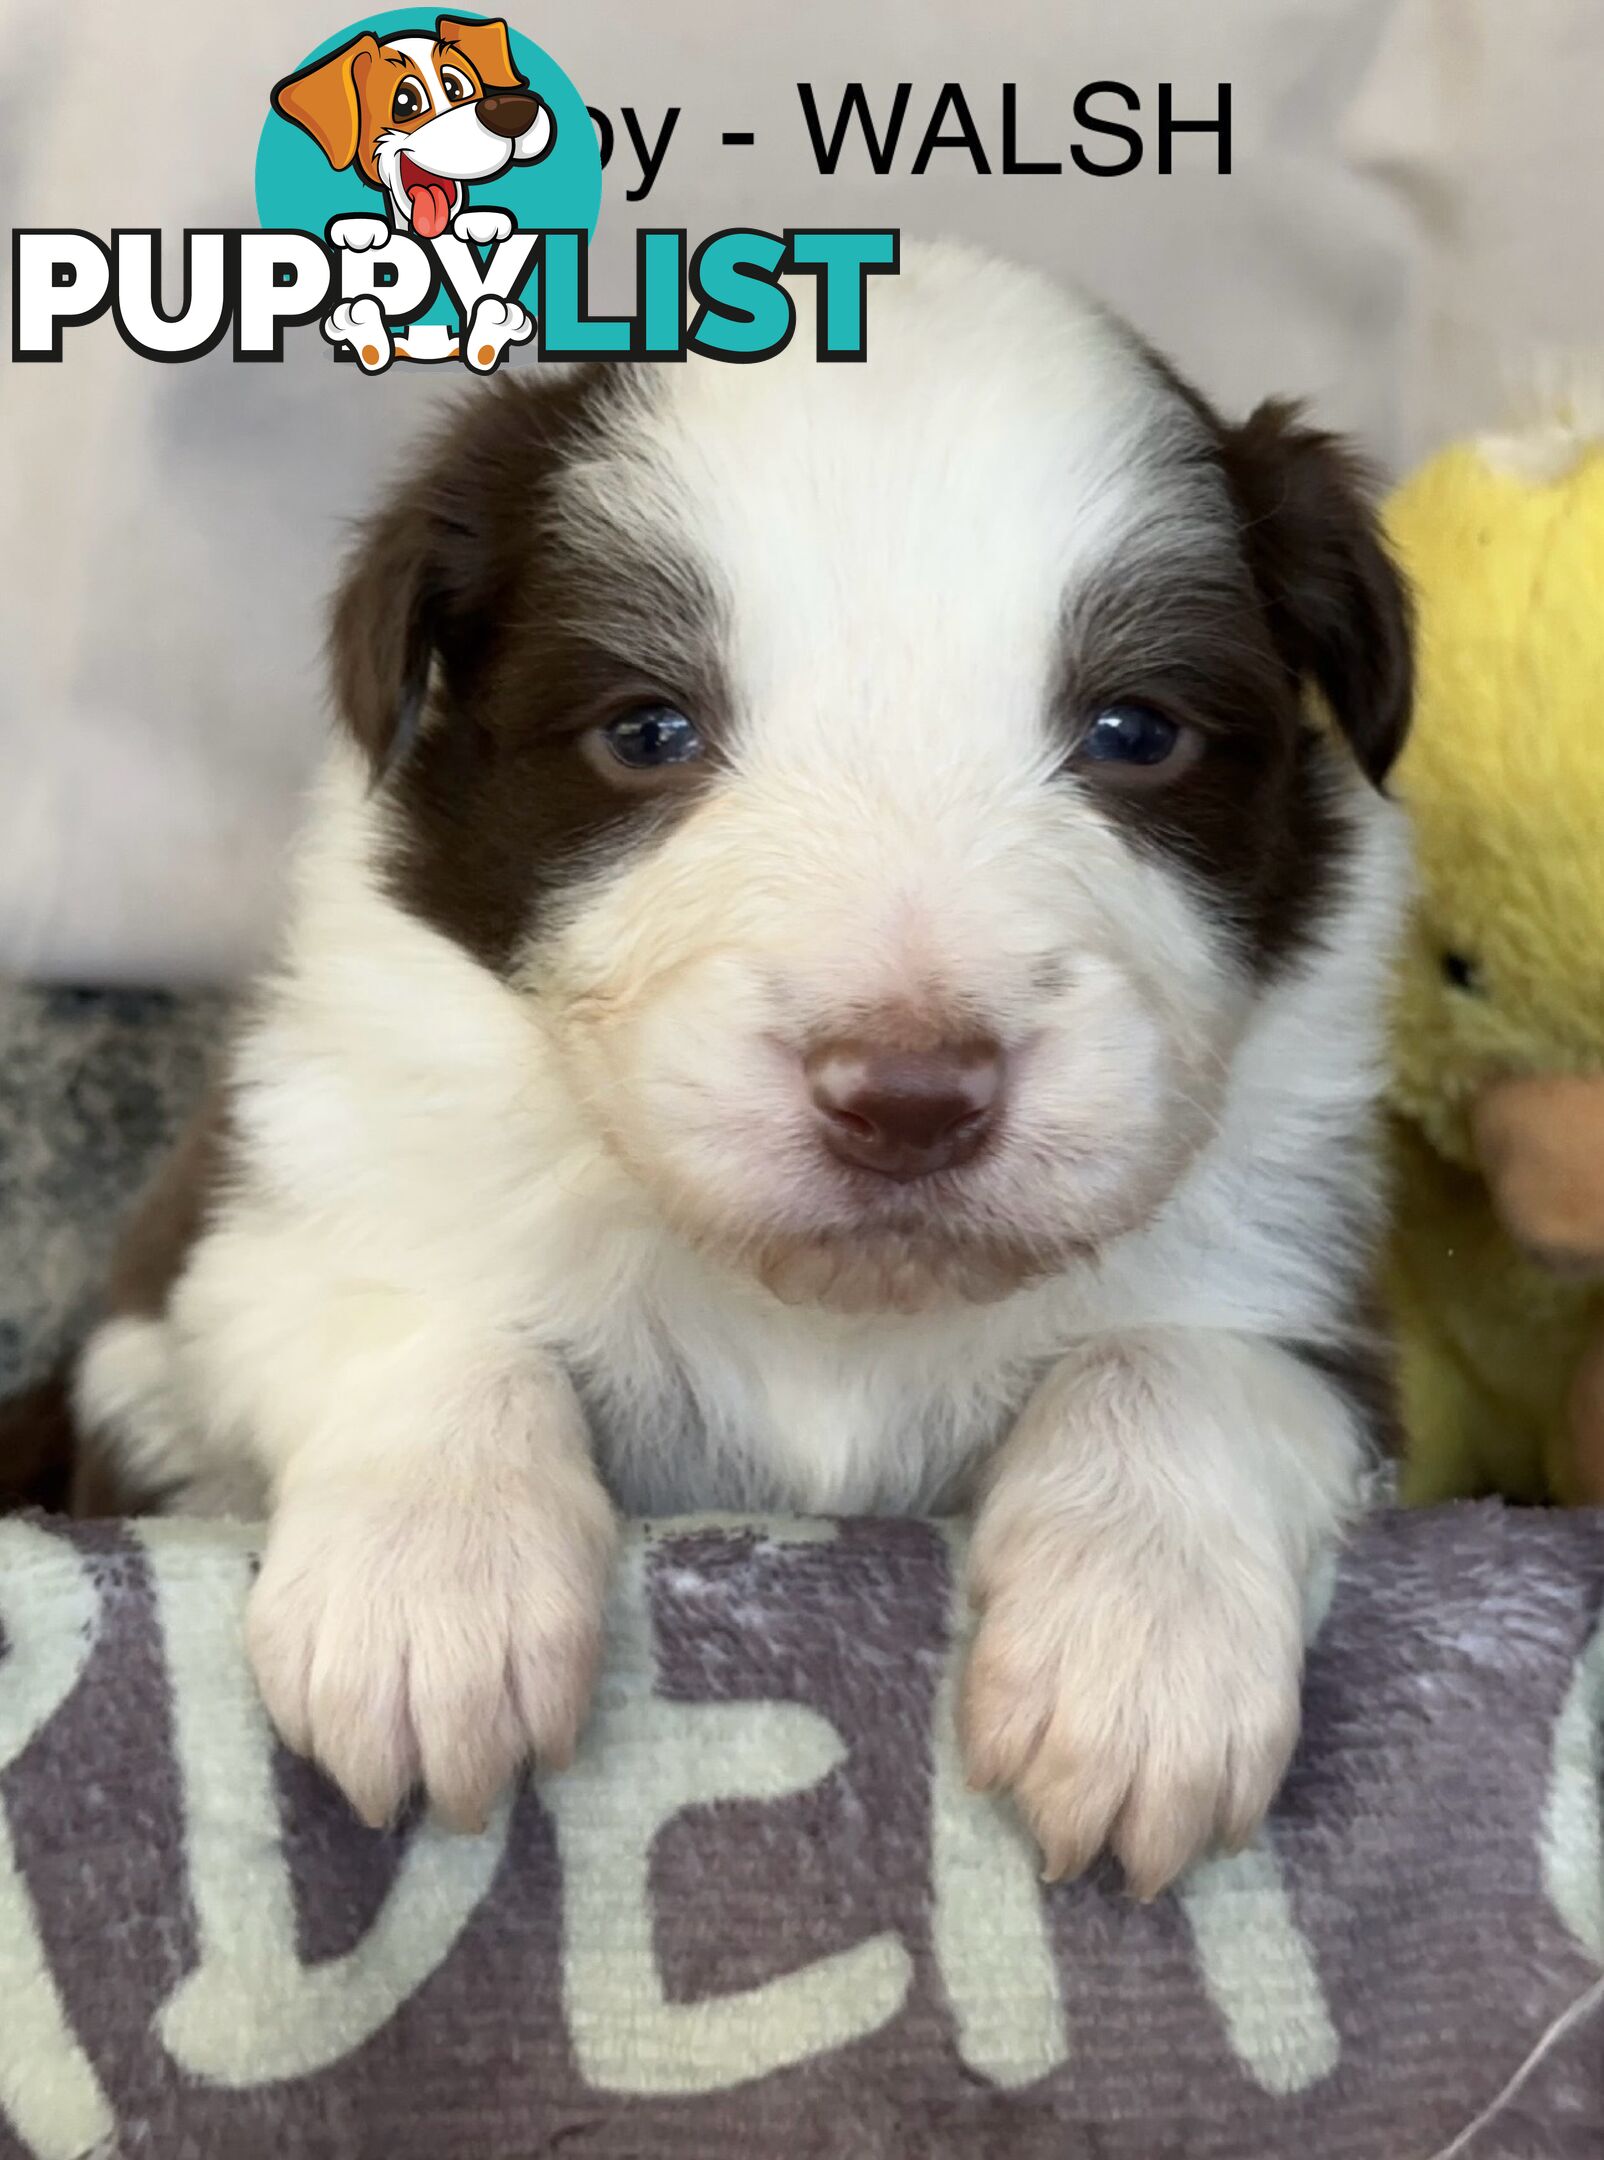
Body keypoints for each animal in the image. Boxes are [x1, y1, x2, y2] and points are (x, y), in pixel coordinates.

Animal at [40, 245, 1416, 1892]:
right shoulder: (245, 1251)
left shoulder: (1318, 1309)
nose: (908, 1098)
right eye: (648, 730)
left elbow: (1170, 1360)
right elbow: (430, 1325)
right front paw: (430, 1599)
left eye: (1135, 730)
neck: (829, 1318)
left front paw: (1137, 1659)